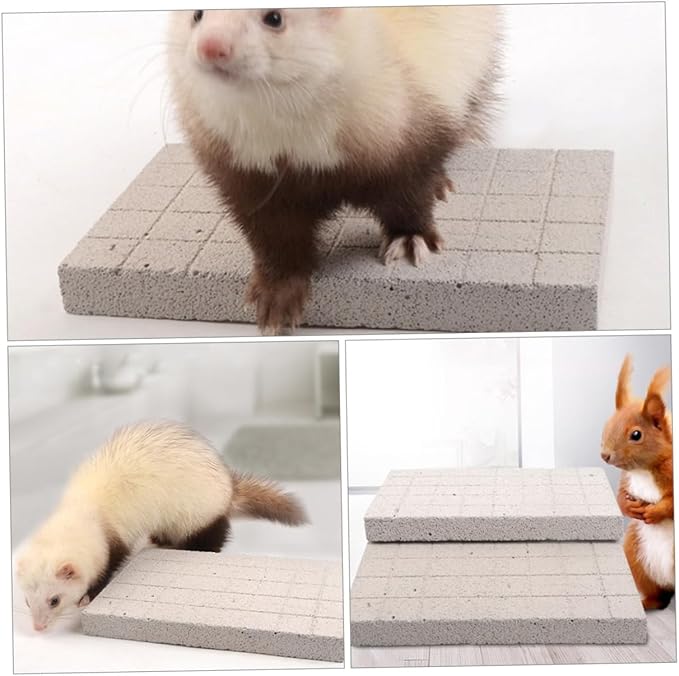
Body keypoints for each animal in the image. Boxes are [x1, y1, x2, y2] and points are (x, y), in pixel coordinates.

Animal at [16, 421, 307, 631]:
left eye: (54, 599)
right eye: (27, 600)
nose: (38, 627)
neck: (85, 508)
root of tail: (228, 489)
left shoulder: (115, 543)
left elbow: (109, 567)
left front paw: (88, 596)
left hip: (199, 517)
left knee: (216, 535)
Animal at [167, 7, 502, 333]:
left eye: (274, 17)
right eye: (197, 14)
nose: (211, 45)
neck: (303, 150)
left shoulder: (410, 139)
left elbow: (409, 196)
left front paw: (409, 239)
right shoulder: (246, 180)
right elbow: (273, 237)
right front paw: (277, 292)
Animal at [601, 354, 674, 610]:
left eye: (636, 435)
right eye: (607, 425)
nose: (605, 455)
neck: (643, 470)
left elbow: (671, 503)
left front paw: (655, 512)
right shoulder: (627, 480)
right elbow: (619, 498)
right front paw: (629, 507)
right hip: (635, 556)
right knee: (659, 597)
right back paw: (647, 603)